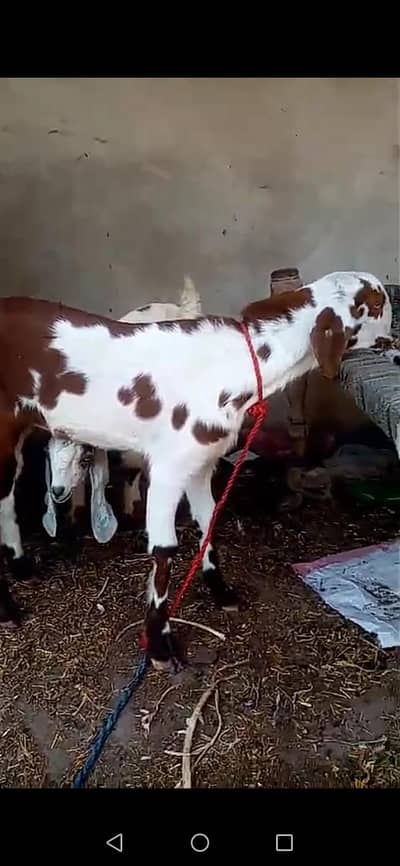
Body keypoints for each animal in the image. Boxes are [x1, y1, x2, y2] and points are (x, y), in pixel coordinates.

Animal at [43, 276, 202, 542]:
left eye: (84, 459)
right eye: (47, 454)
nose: (57, 491)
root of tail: (182, 309)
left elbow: (132, 471)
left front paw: (132, 512)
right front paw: (76, 514)